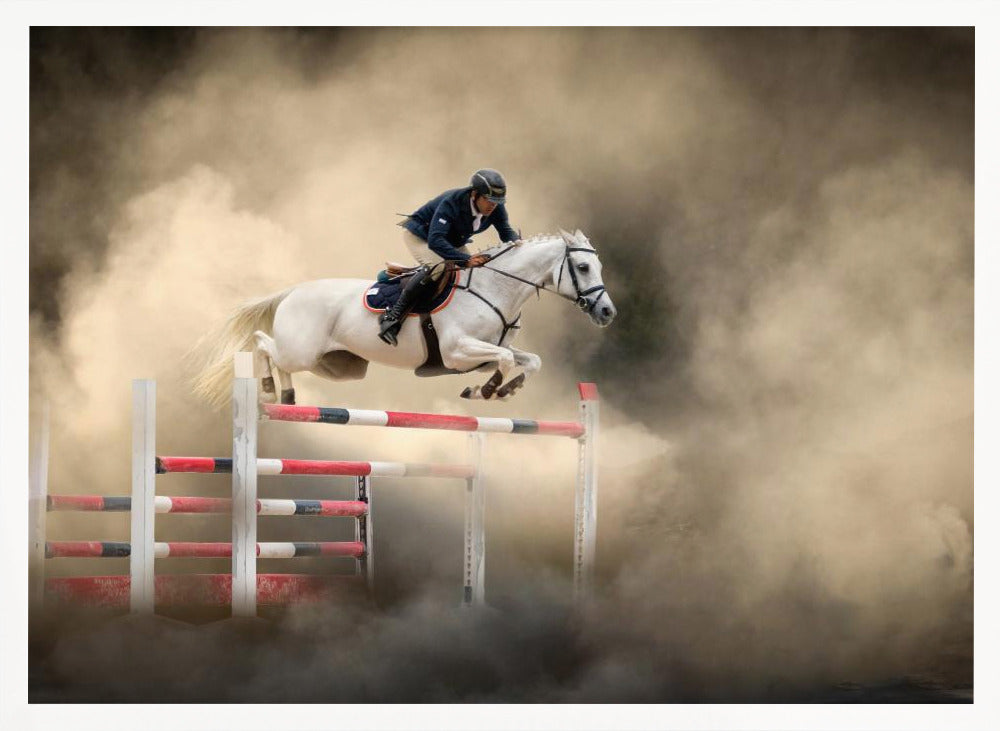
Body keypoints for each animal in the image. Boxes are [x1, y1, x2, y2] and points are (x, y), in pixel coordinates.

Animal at [192, 229, 616, 406]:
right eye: (582, 267)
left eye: (597, 265)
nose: (607, 311)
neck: (496, 288)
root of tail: (294, 291)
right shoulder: (457, 352)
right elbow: (506, 359)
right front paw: (489, 390)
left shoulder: (476, 357)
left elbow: (528, 360)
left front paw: (501, 389)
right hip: (301, 350)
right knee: (263, 344)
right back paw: (266, 388)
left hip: (335, 367)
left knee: (279, 358)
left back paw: (287, 396)